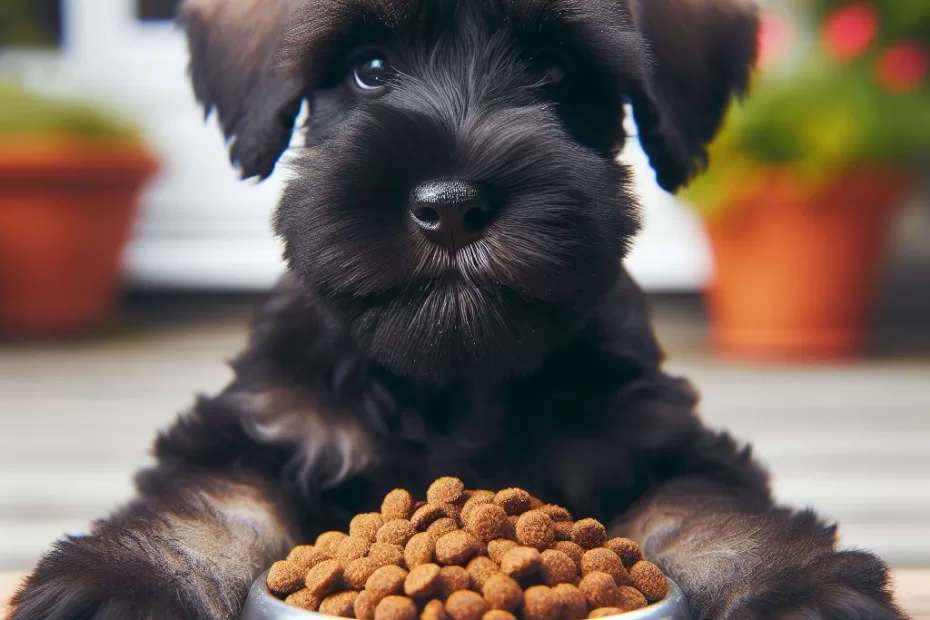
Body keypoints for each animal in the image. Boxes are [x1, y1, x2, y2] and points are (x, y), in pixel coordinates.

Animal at [10, 1, 904, 620]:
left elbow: (716, 518)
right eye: (368, 65)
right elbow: (204, 510)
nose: (449, 207)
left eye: (555, 69)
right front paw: (117, 584)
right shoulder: (254, 430)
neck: (457, 385)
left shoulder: (665, 444)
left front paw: (801, 589)